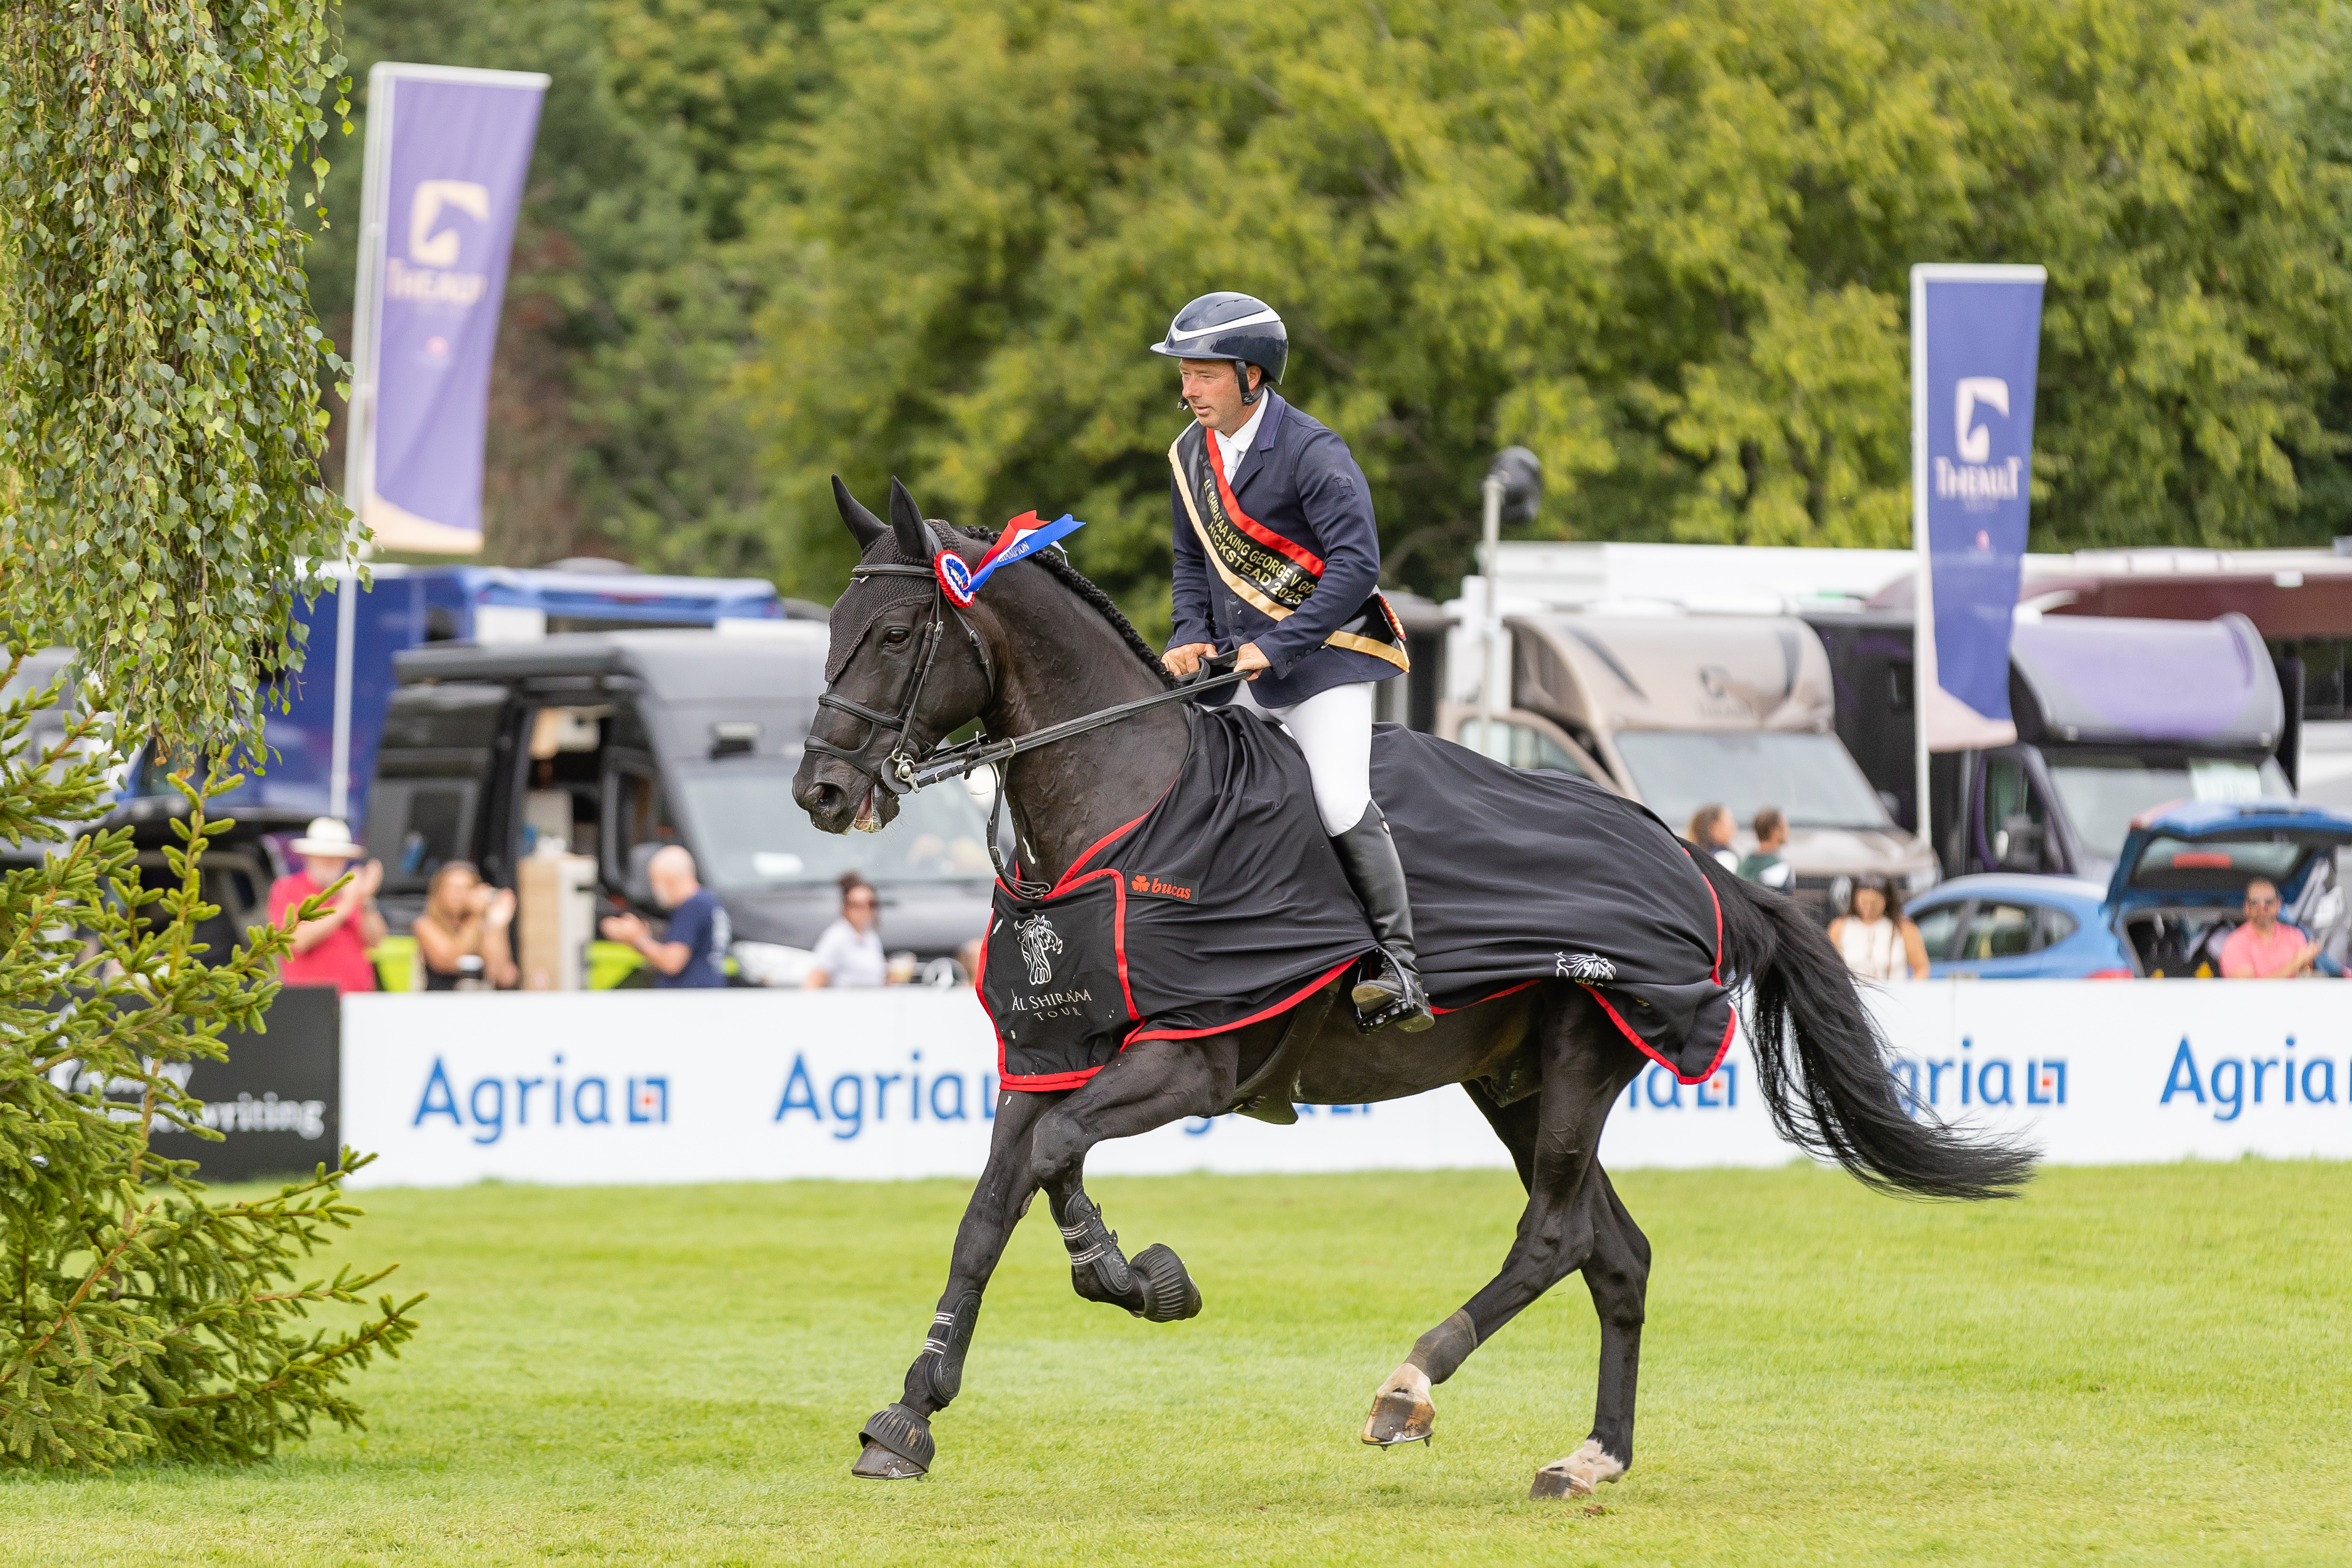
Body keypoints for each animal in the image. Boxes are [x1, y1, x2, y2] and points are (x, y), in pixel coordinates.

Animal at [791, 477, 2034, 1500]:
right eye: (832, 632)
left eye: (893, 632)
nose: (822, 790)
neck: (1129, 808)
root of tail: (1701, 863)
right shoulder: (1048, 1059)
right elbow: (990, 1207)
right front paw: (909, 1414)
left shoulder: (1187, 1060)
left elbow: (1055, 1163)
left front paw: (1130, 1273)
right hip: (1512, 1083)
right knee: (1615, 1251)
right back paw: (1591, 1456)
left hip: (1580, 1060)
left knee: (1552, 1235)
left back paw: (1409, 1384)